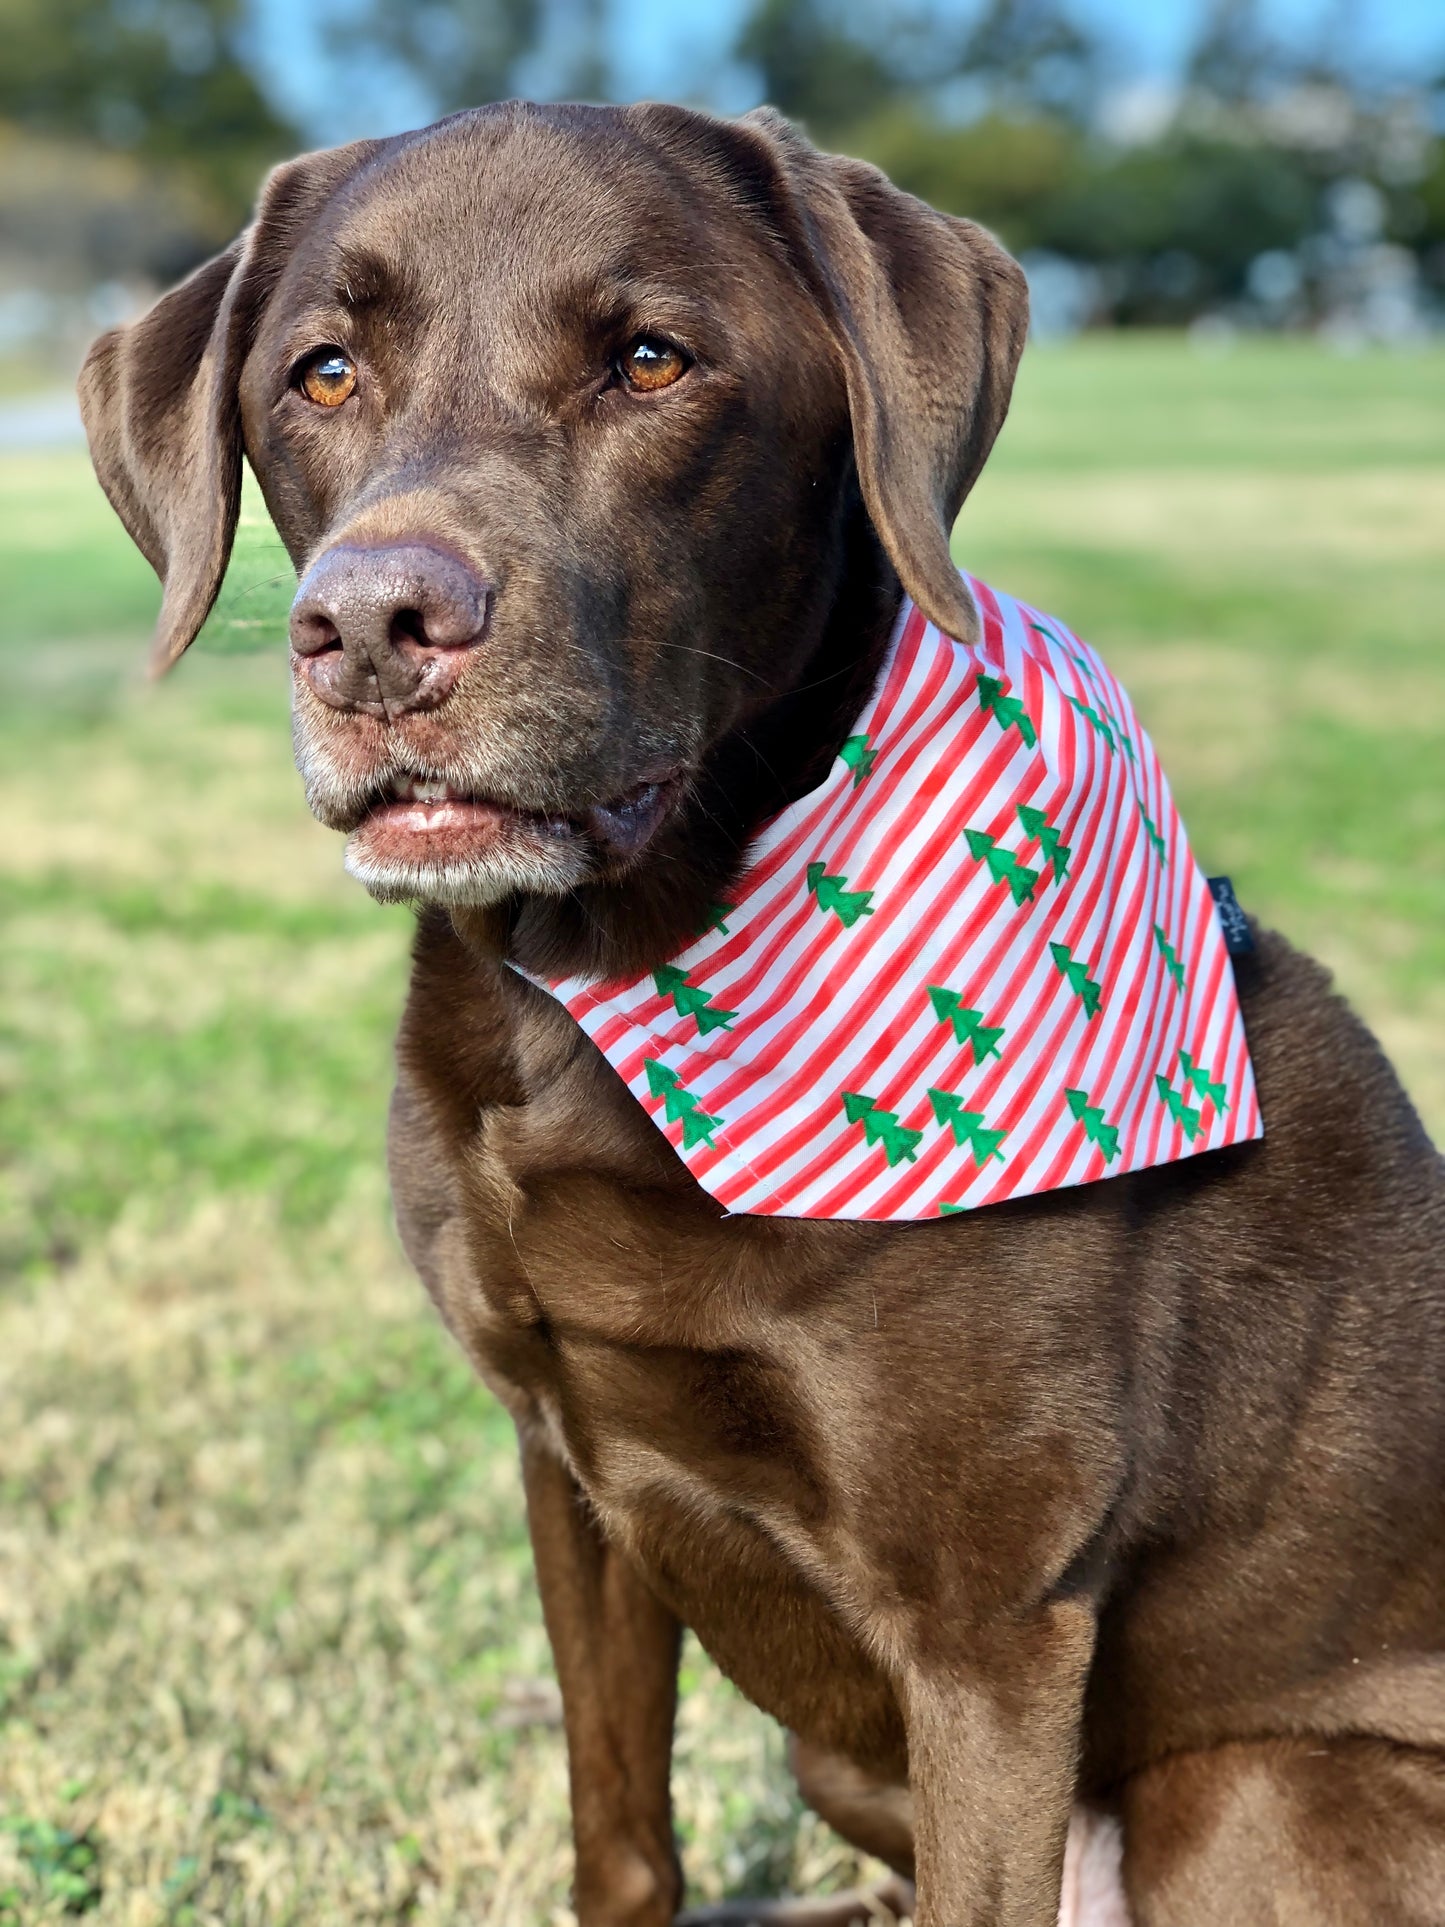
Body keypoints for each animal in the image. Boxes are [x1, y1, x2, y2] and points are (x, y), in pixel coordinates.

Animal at [78, 105, 1445, 1927]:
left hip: (1246, 1793)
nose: (369, 628)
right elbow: (620, 1834)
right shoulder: (566, 1464)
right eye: (321, 371)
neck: (591, 1003)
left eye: (652, 360)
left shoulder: (989, 1627)